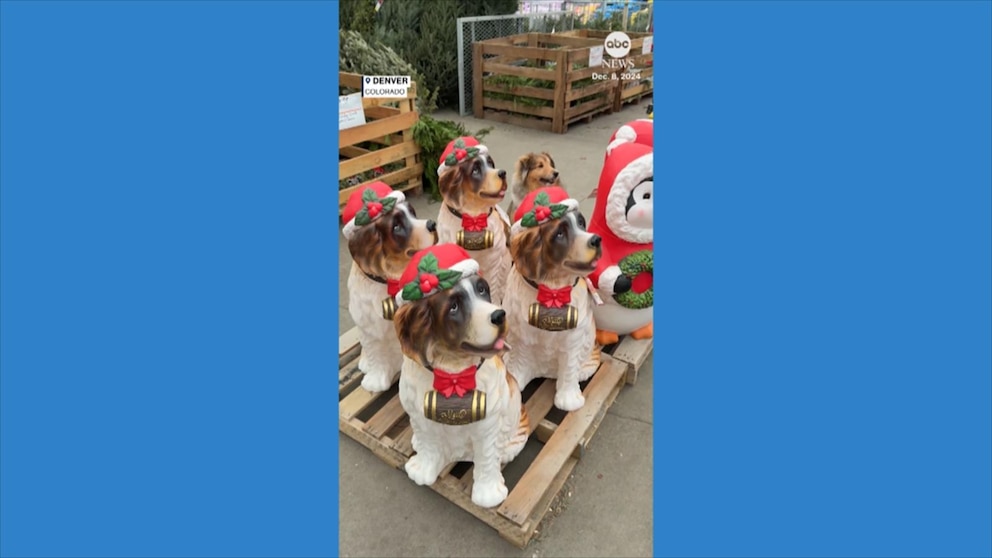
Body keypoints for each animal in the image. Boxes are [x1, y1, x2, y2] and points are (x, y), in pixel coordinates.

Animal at [340, 183, 434, 394]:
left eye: (412, 213)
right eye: (396, 226)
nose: (432, 224)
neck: (390, 281)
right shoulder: (369, 326)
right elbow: (375, 351)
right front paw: (375, 381)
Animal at [392, 247, 532, 510]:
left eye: (482, 290)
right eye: (454, 307)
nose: (500, 315)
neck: (453, 374)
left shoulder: (488, 422)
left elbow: (487, 456)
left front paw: (488, 494)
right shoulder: (419, 414)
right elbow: (428, 443)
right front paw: (422, 470)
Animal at [436, 139, 512, 306]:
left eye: (490, 163)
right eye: (475, 170)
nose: (503, 173)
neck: (474, 218)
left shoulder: (494, 262)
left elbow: (493, 289)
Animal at [500, 187, 600, 412]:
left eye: (581, 223)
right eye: (560, 234)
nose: (596, 240)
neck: (552, 290)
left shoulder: (573, 338)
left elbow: (569, 367)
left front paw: (569, 400)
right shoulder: (519, 333)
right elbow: (519, 357)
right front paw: (516, 377)